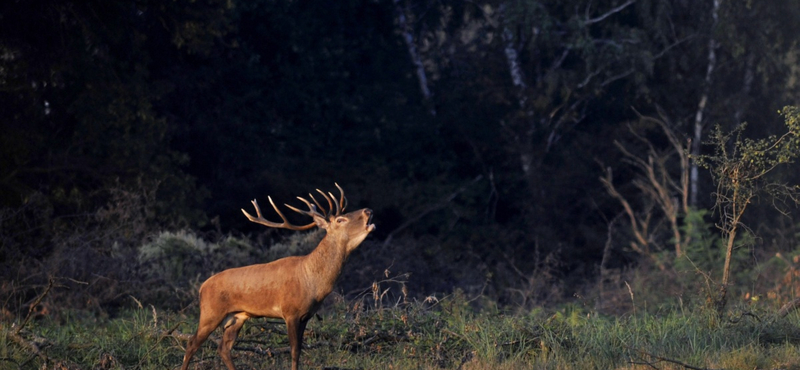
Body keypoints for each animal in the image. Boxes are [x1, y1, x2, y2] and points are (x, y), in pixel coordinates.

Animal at [183, 184, 376, 370]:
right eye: (340, 219)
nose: (368, 210)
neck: (313, 283)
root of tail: (202, 287)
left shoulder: (306, 315)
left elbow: (299, 349)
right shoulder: (290, 312)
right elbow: (294, 351)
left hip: (237, 316)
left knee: (224, 347)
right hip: (210, 312)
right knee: (192, 343)